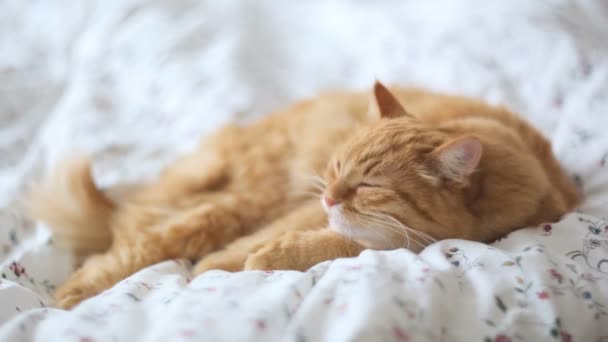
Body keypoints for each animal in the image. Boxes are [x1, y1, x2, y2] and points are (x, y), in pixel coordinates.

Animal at [27, 81, 580, 308]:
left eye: (369, 186)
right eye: (336, 167)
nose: (330, 197)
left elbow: (342, 241)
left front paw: (261, 260)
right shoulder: (300, 207)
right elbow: (270, 243)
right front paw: (223, 266)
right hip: (242, 199)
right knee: (136, 238)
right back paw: (78, 289)